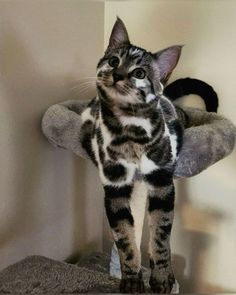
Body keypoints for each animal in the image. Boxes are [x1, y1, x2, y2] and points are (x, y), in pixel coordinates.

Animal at [79, 17, 216, 294]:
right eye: (114, 61)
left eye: (139, 73)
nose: (117, 74)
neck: (130, 133)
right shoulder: (114, 186)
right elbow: (124, 237)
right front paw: (132, 278)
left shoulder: (162, 181)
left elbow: (161, 234)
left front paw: (162, 277)